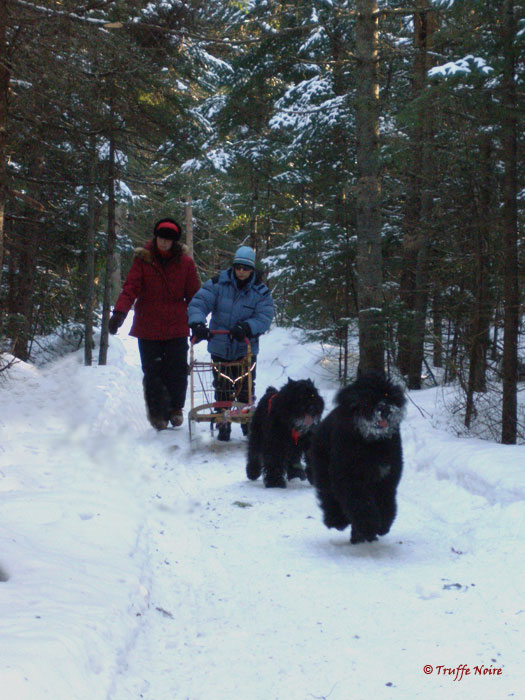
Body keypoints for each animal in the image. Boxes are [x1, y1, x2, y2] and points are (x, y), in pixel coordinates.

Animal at [312, 372, 406, 540]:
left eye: (388, 395)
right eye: (369, 398)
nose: (385, 409)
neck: (371, 443)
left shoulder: (385, 478)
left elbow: (386, 502)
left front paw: (382, 525)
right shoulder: (350, 478)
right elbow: (361, 504)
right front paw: (369, 525)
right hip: (324, 469)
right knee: (329, 496)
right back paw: (337, 520)